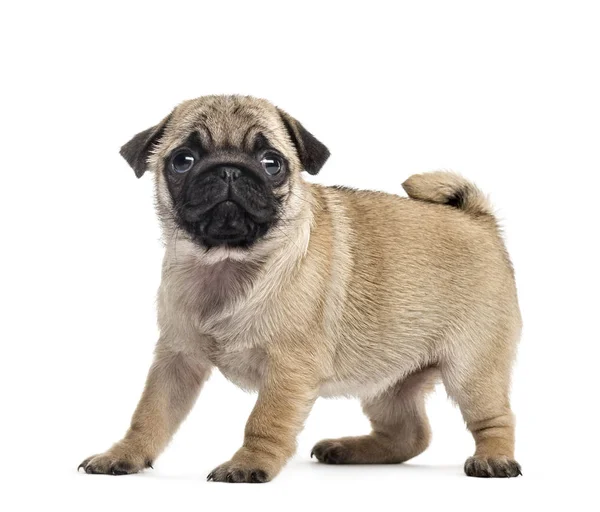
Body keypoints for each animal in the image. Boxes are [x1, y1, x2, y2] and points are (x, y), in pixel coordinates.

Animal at [78, 94, 520, 482]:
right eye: (183, 160)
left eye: (271, 163)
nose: (228, 170)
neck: (226, 263)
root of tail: (478, 219)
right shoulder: (177, 359)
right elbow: (150, 414)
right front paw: (124, 455)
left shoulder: (288, 368)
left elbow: (264, 420)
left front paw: (249, 464)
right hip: (387, 380)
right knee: (410, 434)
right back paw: (348, 449)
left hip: (472, 367)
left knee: (494, 419)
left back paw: (494, 459)